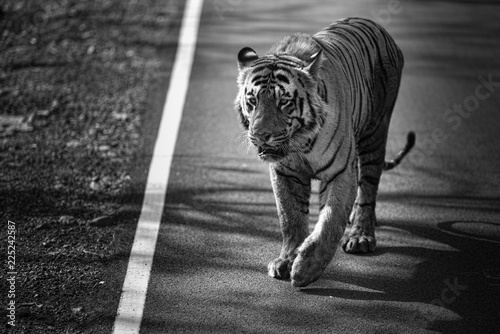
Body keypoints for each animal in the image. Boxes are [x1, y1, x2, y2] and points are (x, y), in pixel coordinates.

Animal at [234, 17, 414, 288]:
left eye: (284, 102)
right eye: (253, 101)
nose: (261, 134)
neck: (299, 143)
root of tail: (377, 26)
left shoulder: (339, 172)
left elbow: (330, 221)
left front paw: (306, 269)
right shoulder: (285, 173)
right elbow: (291, 218)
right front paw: (286, 260)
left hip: (375, 134)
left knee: (368, 189)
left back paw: (360, 236)